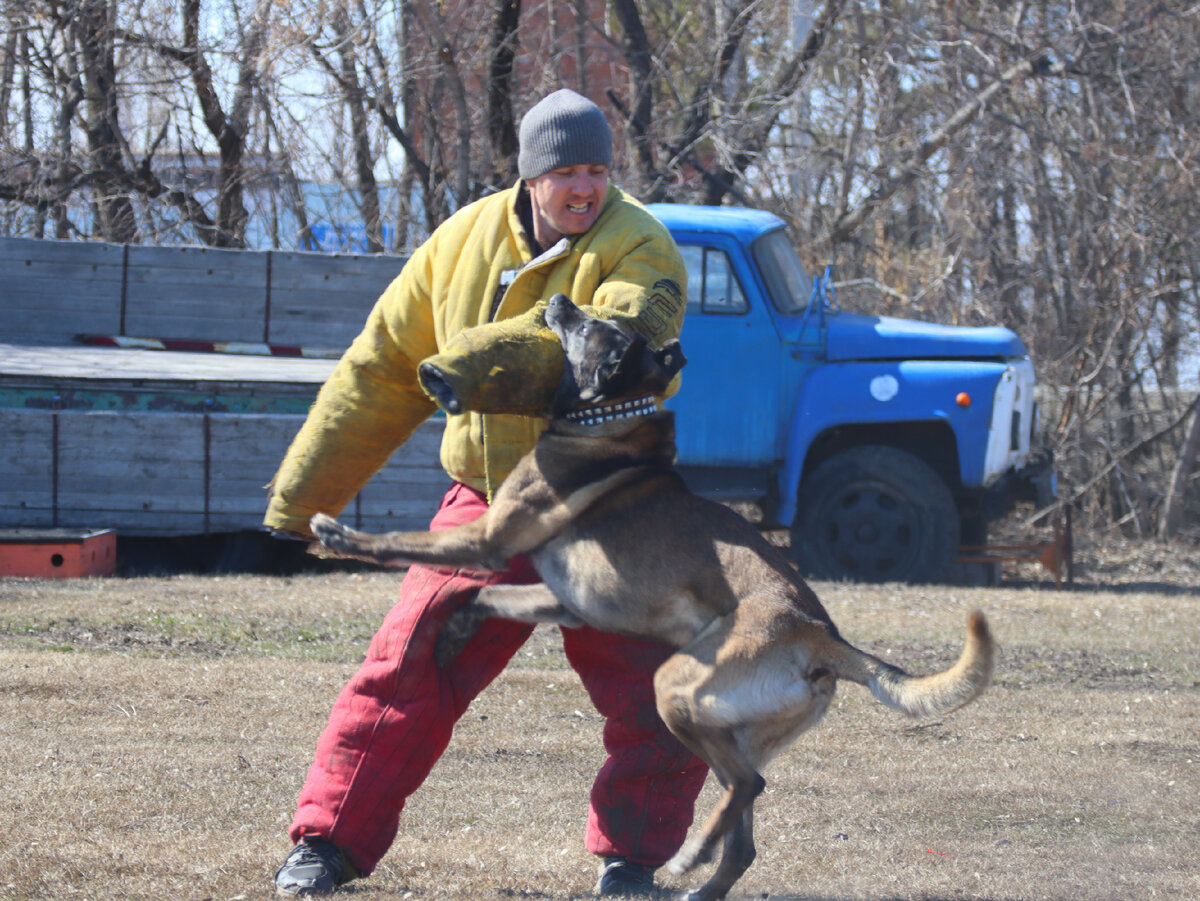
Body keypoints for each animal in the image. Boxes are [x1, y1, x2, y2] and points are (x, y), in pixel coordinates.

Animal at [312, 296, 993, 901]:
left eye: (592, 326)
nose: (559, 299)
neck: (609, 415)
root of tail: (821, 634)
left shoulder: (486, 539)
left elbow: (400, 542)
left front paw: (338, 533)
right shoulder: (558, 599)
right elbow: (479, 601)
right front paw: (453, 633)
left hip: (677, 690)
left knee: (748, 786)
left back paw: (690, 855)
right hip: (725, 727)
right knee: (745, 830)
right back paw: (701, 882)